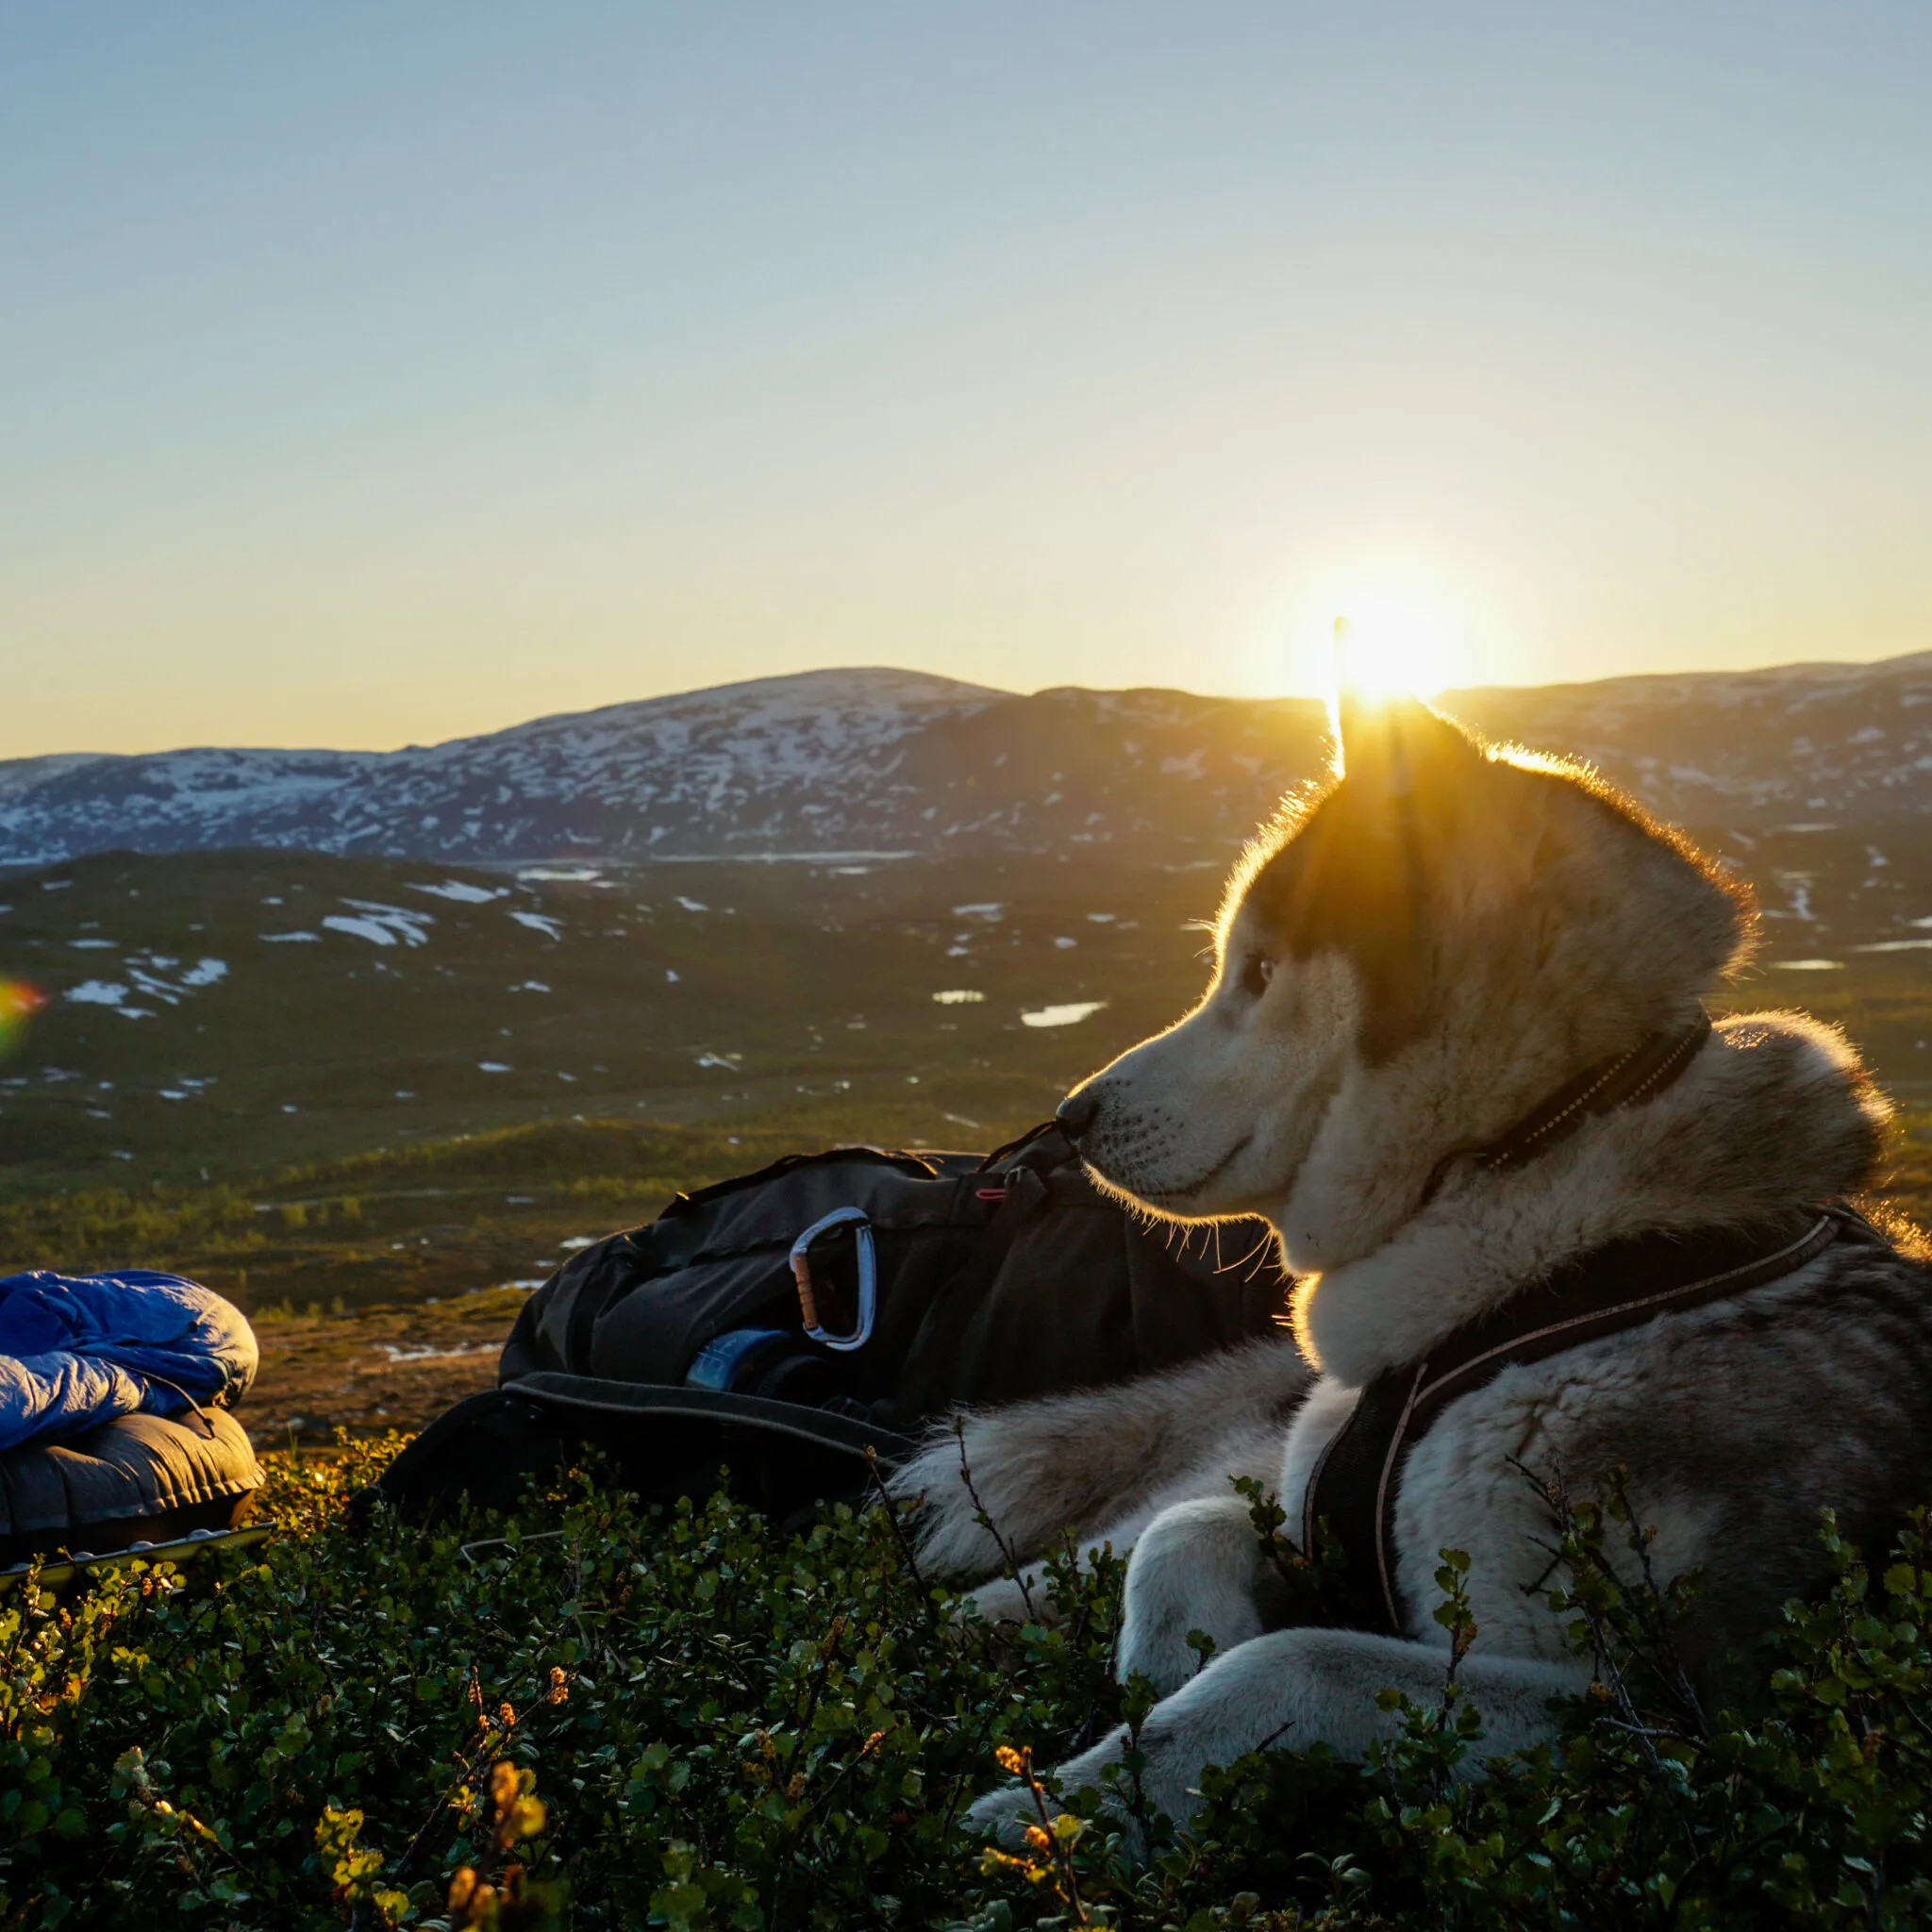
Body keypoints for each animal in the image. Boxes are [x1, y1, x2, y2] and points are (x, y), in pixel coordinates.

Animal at [896, 695, 1932, 1839]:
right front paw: (1149, 1684)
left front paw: (1064, 1809)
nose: (1070, 1118)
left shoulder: (1663, 1715)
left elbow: (1288, 1660)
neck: (1522, 1151)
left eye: (1259, 973)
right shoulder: (1309, 1518)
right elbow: (1183, 1537)